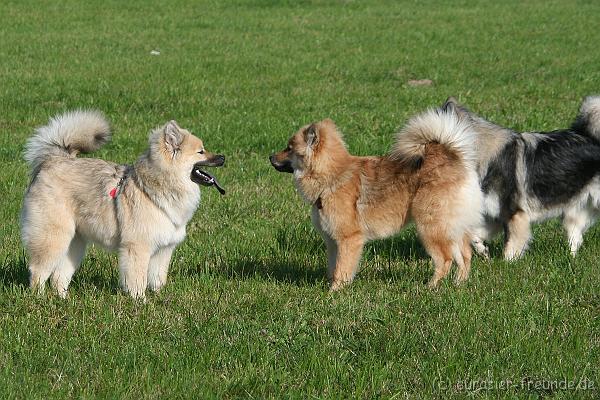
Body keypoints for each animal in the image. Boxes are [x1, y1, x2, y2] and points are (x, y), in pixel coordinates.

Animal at [21, 111, 224, 298]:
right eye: (201, 152)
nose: (222, 157)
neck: (156, 187)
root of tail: (53, 160)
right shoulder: (137, 247)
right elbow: (138, 279)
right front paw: (140, 301)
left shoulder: (163, 250)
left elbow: (158, 279)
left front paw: (159, 298)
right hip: (53, 236)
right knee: (38, 271)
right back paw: (39, 297)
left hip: (75, 243)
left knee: (58, 276)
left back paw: (63, 299)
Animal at [270, 109, 482, 290]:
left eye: (289, 148)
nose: (270, 156)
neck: (332, 176)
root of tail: (452, 158)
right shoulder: (332, 242)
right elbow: (333, 268)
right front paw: (331, 287)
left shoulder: (349, 239)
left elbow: (341, 269)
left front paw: (334, 292)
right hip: (451, 228)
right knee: (465, 255)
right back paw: (458, 284)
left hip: (430, 227)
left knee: (445, 259)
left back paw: (431, 287)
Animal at [440, 97, 600, 260]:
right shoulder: (496, 215)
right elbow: (474, 235)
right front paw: (484, 252)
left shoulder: (514, 214)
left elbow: (510, 248)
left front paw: (507, 263)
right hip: (574, 211)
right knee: (576, 238)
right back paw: (571, 259)